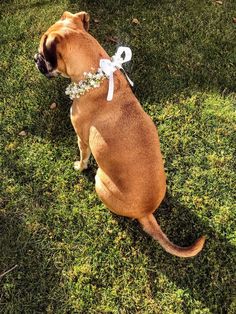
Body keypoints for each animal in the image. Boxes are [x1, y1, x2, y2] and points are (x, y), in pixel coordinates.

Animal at [34, 11, 206, 258]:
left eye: (42, 53)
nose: (35, 59)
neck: (97, 75)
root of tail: (146, 212)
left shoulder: (81, 139)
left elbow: (83, 157)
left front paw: (79, 166)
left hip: (100, 180)